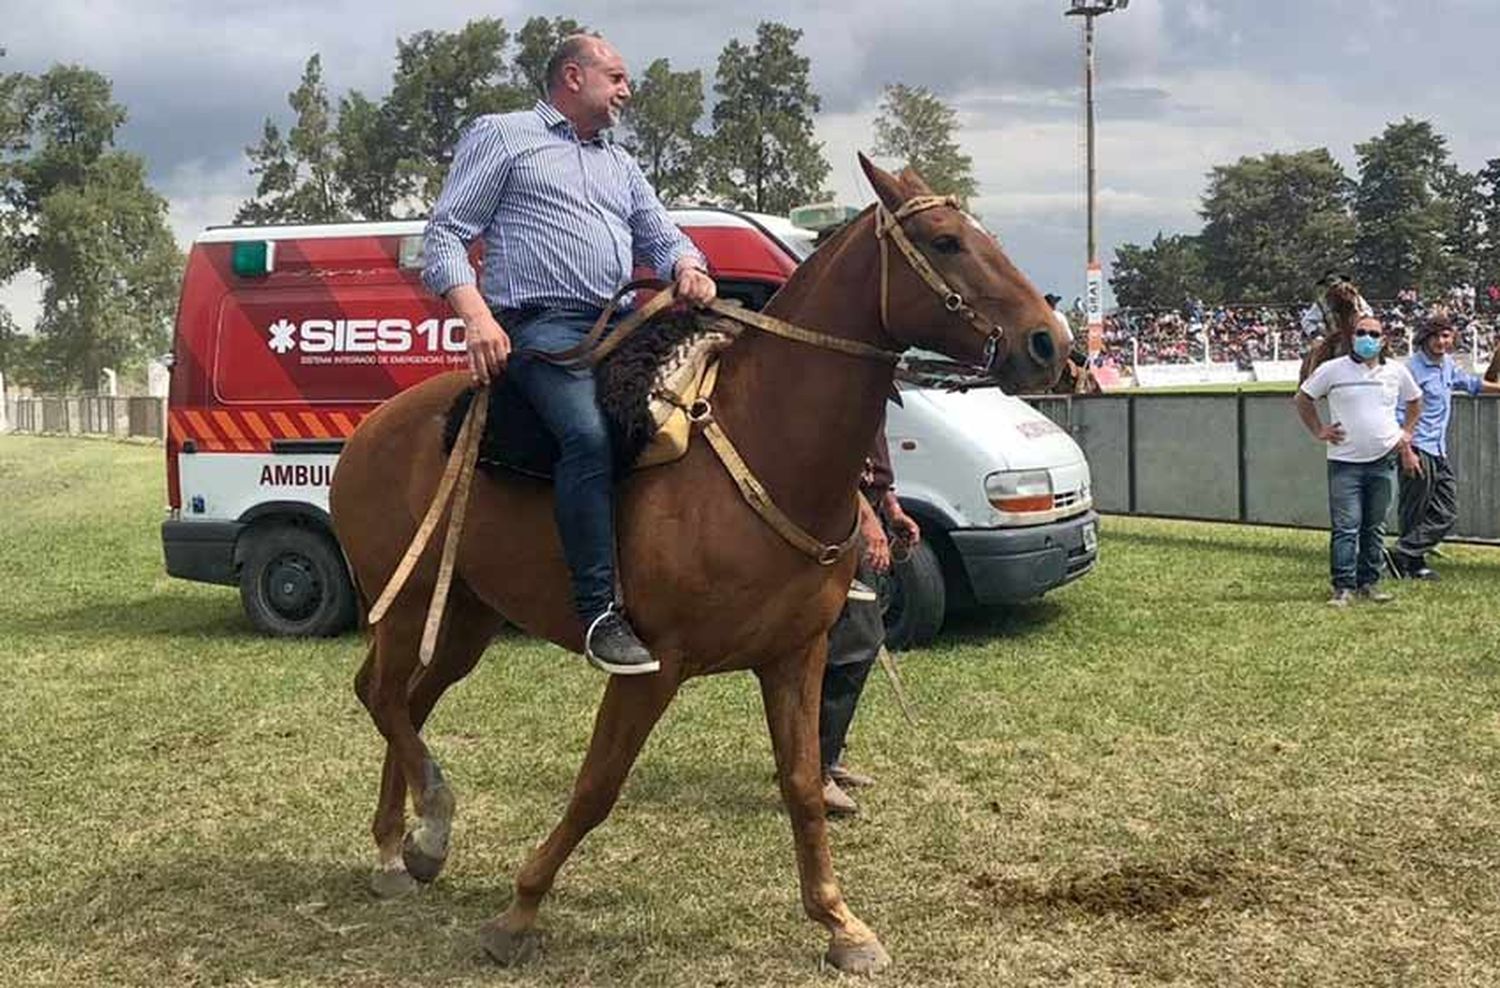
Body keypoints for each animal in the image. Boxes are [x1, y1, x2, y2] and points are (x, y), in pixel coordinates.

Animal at [328, 158, 1068, 977]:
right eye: (945, 241)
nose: (1050, 343)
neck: (768, 444)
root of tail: (370, 430)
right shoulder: (653, 666)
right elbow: (597, 787)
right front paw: (517, 913)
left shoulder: (795, 655)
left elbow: (803, 785)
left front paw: (842, 924)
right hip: (405, 604)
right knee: (381, 695)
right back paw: (427, 827)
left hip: (465, 617)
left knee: (407, 702)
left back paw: (401, 849)